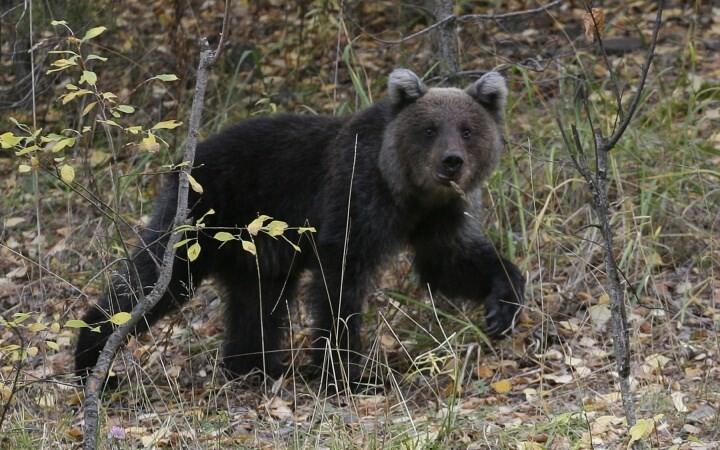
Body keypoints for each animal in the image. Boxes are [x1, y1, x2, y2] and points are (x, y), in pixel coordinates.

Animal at [74, 68, 525, 385]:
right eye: (429, 129)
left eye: (468, 129)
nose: (452, 162)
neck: (406, 191)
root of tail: (185, 160)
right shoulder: (355, 196)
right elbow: (341, 281)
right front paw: (347, 373)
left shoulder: (438, 216)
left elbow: (449, 261)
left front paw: (502, 305)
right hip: (203, 217)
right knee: (156, 279)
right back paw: (93, 358)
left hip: (256, 248)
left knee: (258, 303)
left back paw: (254, 366)